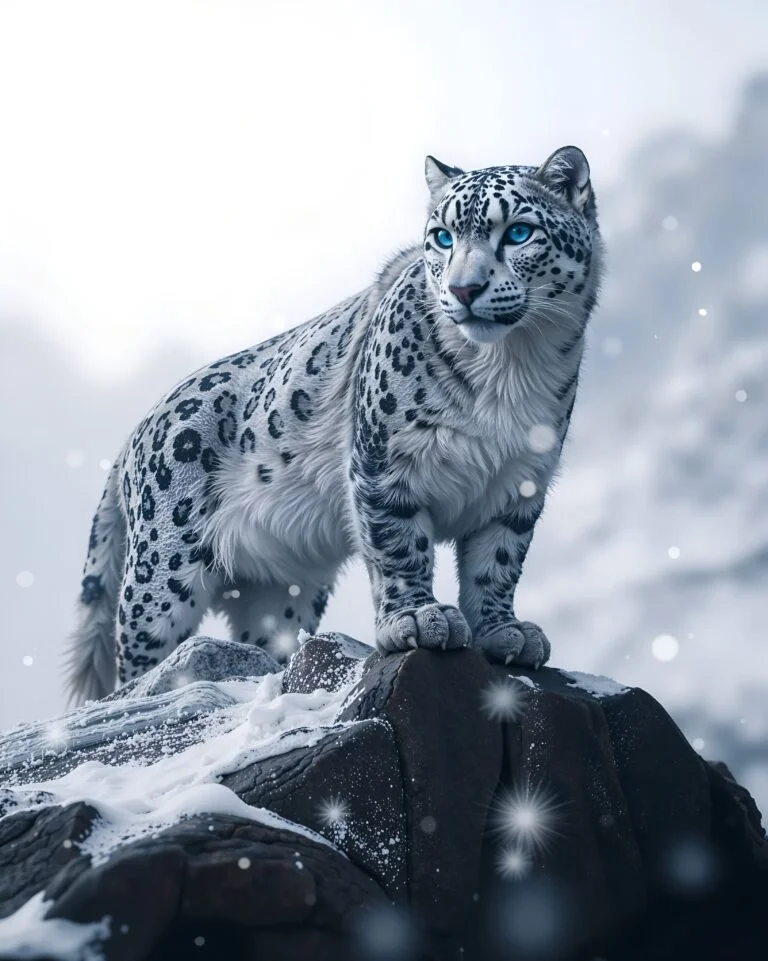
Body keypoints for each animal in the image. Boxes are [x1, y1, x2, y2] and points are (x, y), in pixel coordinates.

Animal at [65, 145, 604, 703]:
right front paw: (417, 619)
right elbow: (400, 548)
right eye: (442, 236)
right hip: (160, 573)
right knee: (137, 658)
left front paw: (505, 632)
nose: (464, 288)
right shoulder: (384, 463)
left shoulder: (519, 484)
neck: (509, 371)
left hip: (280, 592)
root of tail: (135, 434)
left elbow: (498, 564)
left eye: (518, 232)